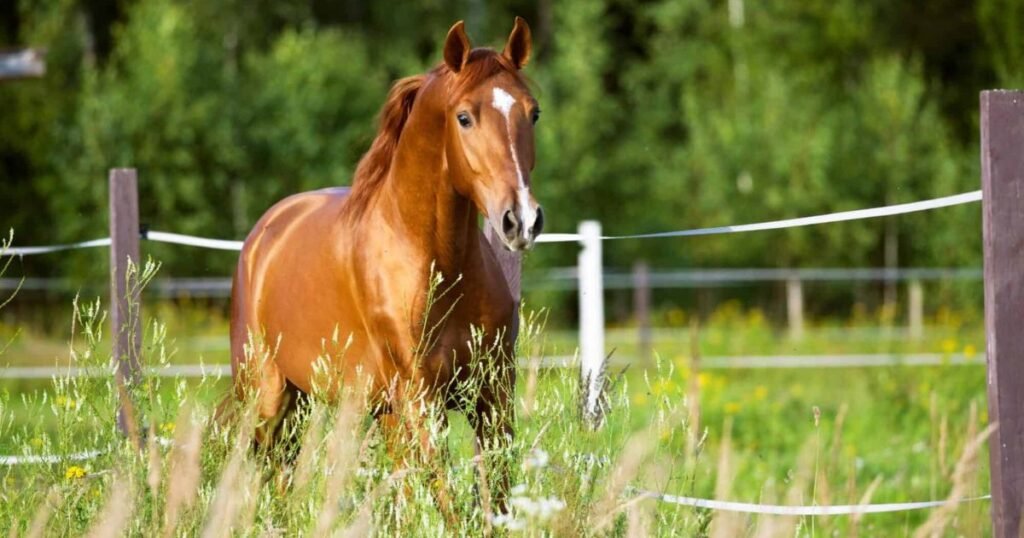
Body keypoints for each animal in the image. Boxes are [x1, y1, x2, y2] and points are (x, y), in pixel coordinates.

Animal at [228, 17, 542, 507]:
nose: (521, 220)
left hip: (346, 406)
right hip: (269, 397)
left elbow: (495, 496)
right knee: (269, 474)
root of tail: (264, 233)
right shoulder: (420, 399)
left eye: (533, 113)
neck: (438, 265)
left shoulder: (491, 395)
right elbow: (447, 500)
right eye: (464, 117)